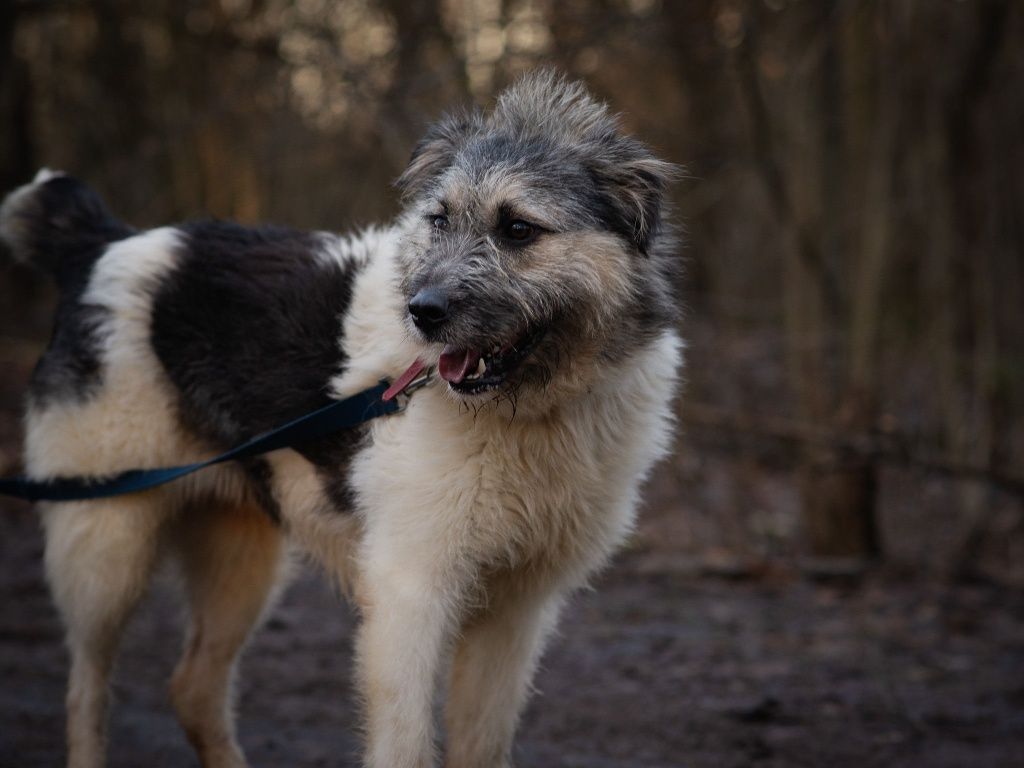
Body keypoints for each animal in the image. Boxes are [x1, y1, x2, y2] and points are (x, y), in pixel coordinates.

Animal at [2, 72, 688, 768]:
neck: (529, 409)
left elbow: (482, 743)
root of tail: (103, 243)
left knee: (191, 687)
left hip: (240, 555)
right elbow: (405, 743)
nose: (422, 312)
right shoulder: (408, 593)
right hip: (104, 546)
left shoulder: (516, 611)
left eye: (519, 229)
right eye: (438, 220)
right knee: (86, 688)